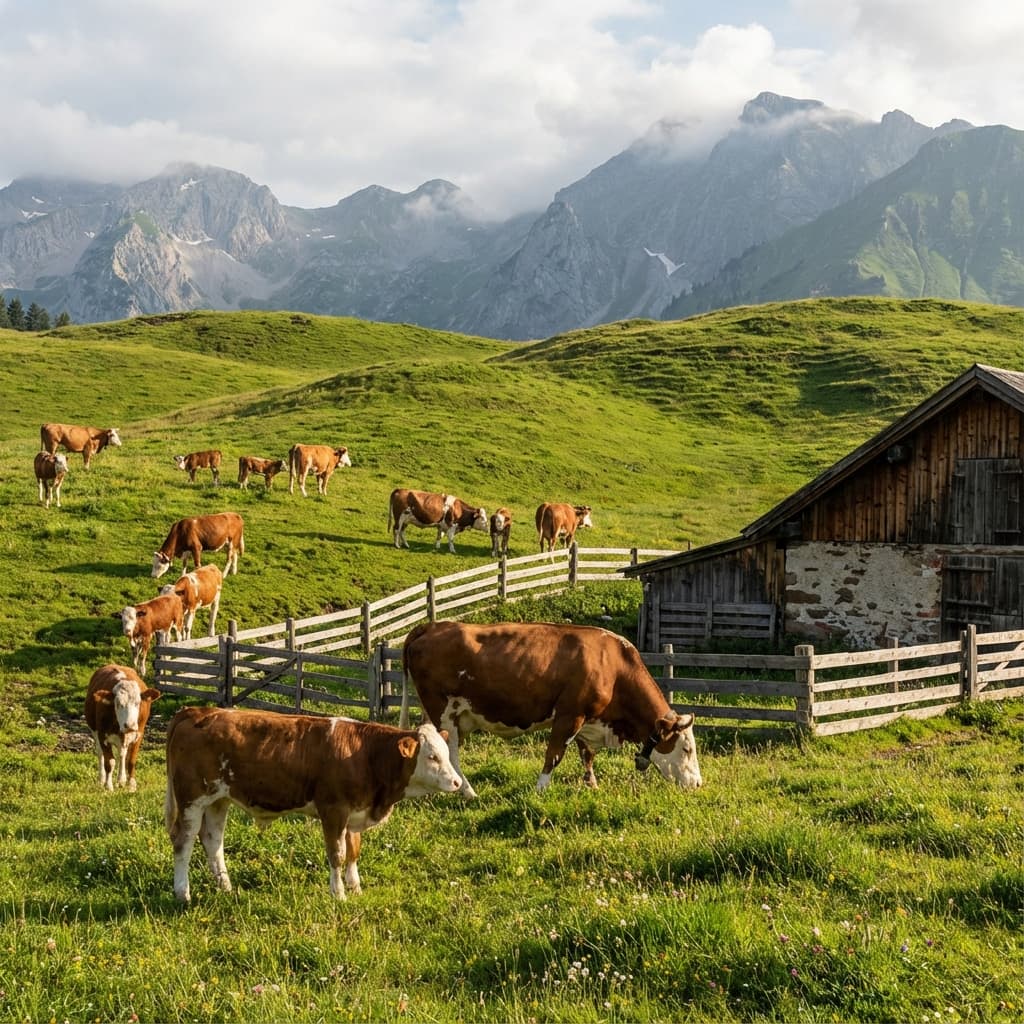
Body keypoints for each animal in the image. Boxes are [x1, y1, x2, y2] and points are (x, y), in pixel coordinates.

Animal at [165, 708, 461, 902]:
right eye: (432, 757)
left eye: (445, 754)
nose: (457, 782)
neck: (366, 754)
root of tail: (195, 711)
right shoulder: (333, 810)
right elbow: (337, 854)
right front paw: (339, 894)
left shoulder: (355, 812)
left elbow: (353, 851)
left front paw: (355, 888)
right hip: (192, 799)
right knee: (183, 841)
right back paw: (182, 893)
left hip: (219, 799)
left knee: (213, 840)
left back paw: (225, 886)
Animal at [401, 620, 702, 798]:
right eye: (687, 749)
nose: (698, 784)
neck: (614, 667)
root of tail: (432, 625)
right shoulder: (570, 715)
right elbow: (554, 755)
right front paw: (541, 789)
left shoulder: (588, 719)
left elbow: (587, 754)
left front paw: (592, 785)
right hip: (443, 711)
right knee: (450, 752)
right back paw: (468, 791)